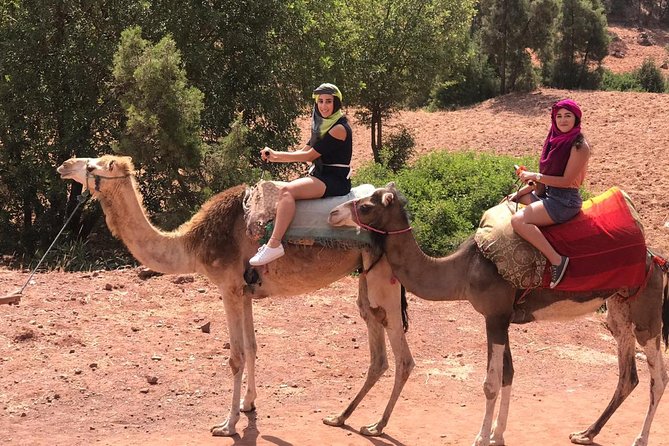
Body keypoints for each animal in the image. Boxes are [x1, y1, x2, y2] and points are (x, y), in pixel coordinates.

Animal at [56, 155, 415, 438]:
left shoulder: (227, 286)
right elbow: (253, 347)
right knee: (376, 345)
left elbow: (236, 356)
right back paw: (341, 417)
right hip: (366, 275)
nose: (63, 164)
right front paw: (247, 404)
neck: (193, 243)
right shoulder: (244, 291)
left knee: (402, 356)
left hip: (385, 277)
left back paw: (376, 425)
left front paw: (226, 424)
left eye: (92, 166)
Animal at [329, 183, 669, 446]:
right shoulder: (502, 317)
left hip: (647, 315)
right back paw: (586, 433)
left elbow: (490, 383)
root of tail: (656, 260)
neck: (464, 269)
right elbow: (508, 374)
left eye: (366, 206)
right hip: (620, 309)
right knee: (628, 375)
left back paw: (640, 438)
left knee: (658, 378)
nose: (333, 214)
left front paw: (481, 437)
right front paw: (497, 435)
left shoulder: (494, 316)